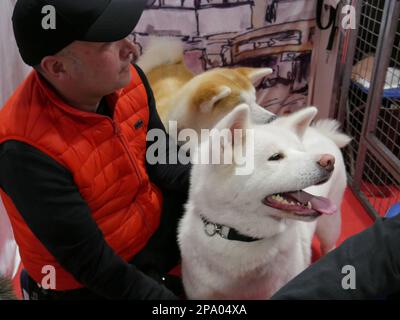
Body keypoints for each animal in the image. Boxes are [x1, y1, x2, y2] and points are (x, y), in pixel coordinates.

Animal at [178, 105, 350, 300]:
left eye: (301, 151)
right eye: (276, 157)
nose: (329, 161)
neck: (243, 239)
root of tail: (324, 134)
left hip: (329, 225)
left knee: (330, 245)